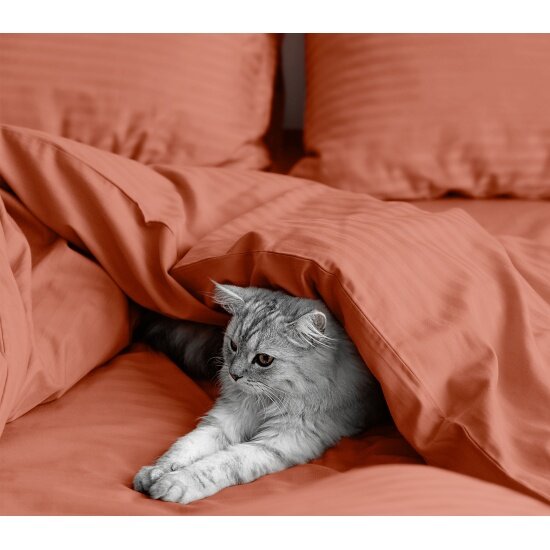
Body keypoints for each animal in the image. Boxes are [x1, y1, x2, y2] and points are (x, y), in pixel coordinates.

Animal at [133, 283, 389, 504]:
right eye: (233, 346)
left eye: (264, 359)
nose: (234, 374)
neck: (264, 402)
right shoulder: (224, 422)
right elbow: (185, 446)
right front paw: (155, 472)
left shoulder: (280, 440)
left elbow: (220, 462)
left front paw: (175, 483)